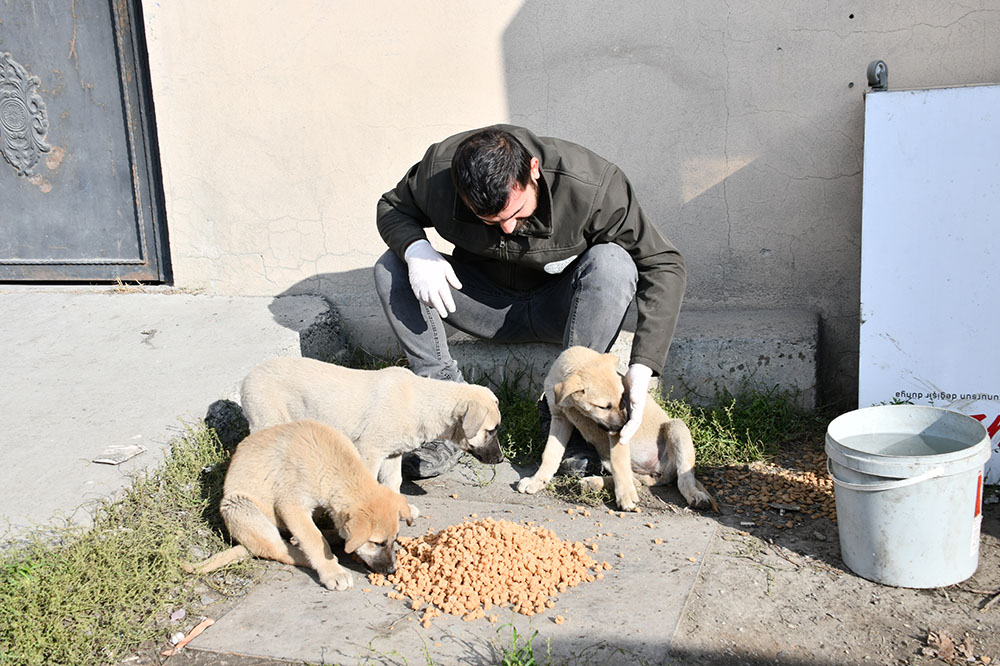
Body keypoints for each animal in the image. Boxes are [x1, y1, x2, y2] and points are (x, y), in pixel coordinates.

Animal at [184, 418, 414, 588]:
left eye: (395, 538)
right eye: (377, 543)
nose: (392, 570)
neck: (331, 465)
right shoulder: (291, 505)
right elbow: (313, 539)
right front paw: (332, 572)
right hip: (240, 507)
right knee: (277, 549)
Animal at [241, 356, 504, 490]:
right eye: (490, 431)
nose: (502, 459)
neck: (420, 400)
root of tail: (249, 375)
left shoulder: (392, 454)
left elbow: (393, 481)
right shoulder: (370, 450)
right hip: (267, 420)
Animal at [516, 344, 720, 510]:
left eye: (623, 398)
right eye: (603, 407)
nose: (626, 425)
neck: (574, 407)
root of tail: (658, 471)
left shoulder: (614, 434)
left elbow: (619, 462)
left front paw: (625, 496)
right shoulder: (560, 419)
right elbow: (550, 454)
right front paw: (537, 480)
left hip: (677, 427)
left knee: (683, 480)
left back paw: (696, 496)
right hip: (605, 454)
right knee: (637, 481)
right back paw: (593, 483)